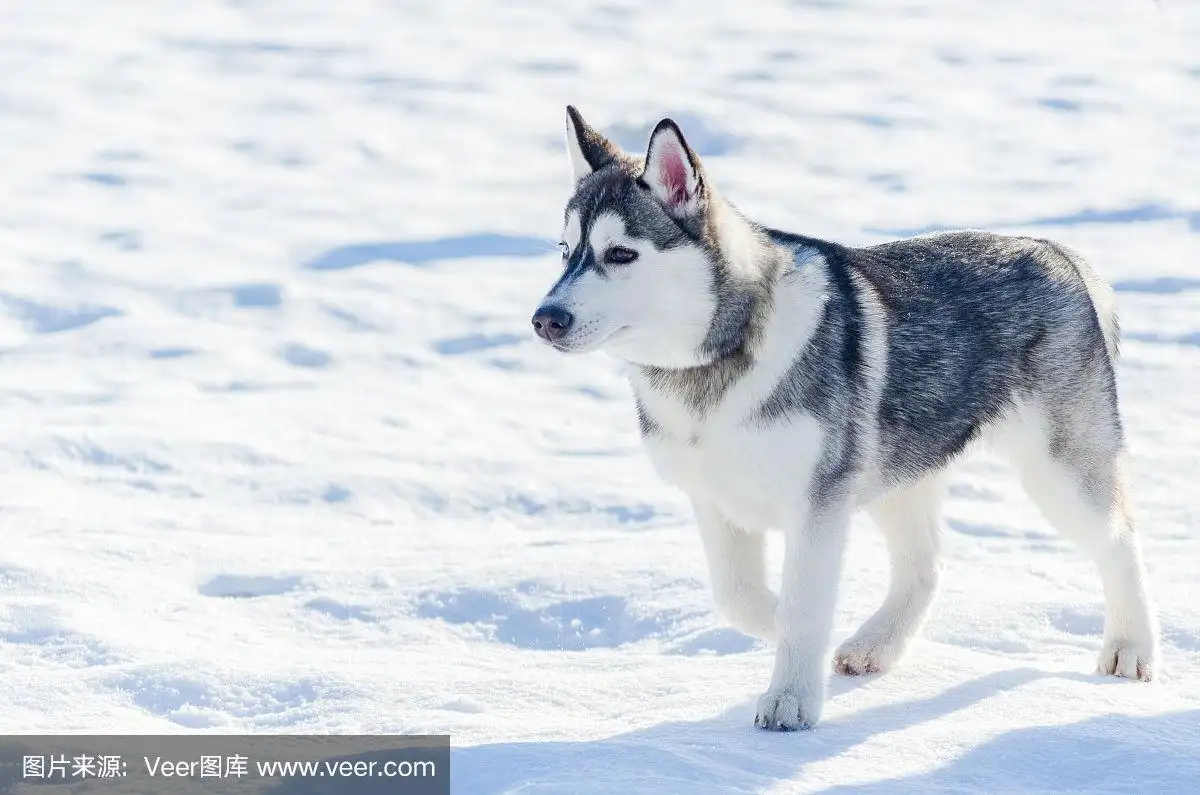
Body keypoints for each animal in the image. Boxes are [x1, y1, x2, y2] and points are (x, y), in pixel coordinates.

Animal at [530, 107, 1156, 734]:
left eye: (620, 254)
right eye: (564, 251)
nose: (545, 319)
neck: (721, 358)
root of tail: (1056, 251)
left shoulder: (818, 503)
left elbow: (803, 604)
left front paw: (789, 699)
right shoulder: (715, 499)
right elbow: (738, 596)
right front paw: (788, 634)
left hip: (1058, 471)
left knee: (1119, 539)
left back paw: (1131, 648)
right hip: (897, 473)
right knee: (925, 565)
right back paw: (874, 645)